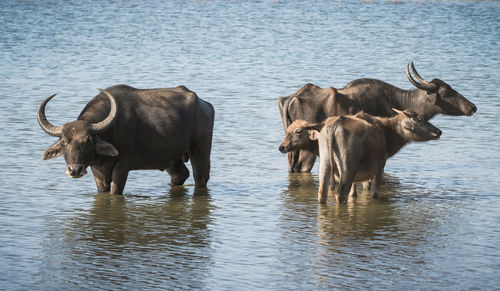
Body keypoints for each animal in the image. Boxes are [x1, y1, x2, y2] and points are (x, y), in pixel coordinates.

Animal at [36, 84, 213, 195]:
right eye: (64, 141)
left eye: (88, 140)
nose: (74, 170)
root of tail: (204, 104)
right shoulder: (96, 170)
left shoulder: (123, 165)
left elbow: (116, 192)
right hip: (170, 158)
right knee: (180, 175)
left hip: (201, 151)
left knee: (200, 178)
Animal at [278, 62, 476, 172]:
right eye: (447, 92)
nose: (472, 107)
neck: (396, 101)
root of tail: (292, 98)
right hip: (305, 150)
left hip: (290, 147)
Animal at [280, 109, 444, 203]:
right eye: (420, 119)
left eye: (297, 131)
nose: (438, 131)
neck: (389, 136)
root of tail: (333, 127)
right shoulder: (379, 166)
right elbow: (373, 193)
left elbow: (353, 193)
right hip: (348, 166)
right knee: (340, 195)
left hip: (326, 162)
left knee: (322, 193)